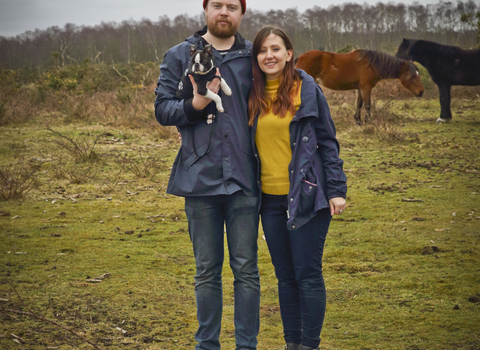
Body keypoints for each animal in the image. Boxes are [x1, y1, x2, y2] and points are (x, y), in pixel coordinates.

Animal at [296, 49, 424, 125]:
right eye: (413, 76)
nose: (421, 92)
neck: (372, 64)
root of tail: (299, 57)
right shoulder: (366, 87)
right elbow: (367, 105)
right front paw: (368, 121)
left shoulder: (359, 88)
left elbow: (359, 104)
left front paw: (358, 121)